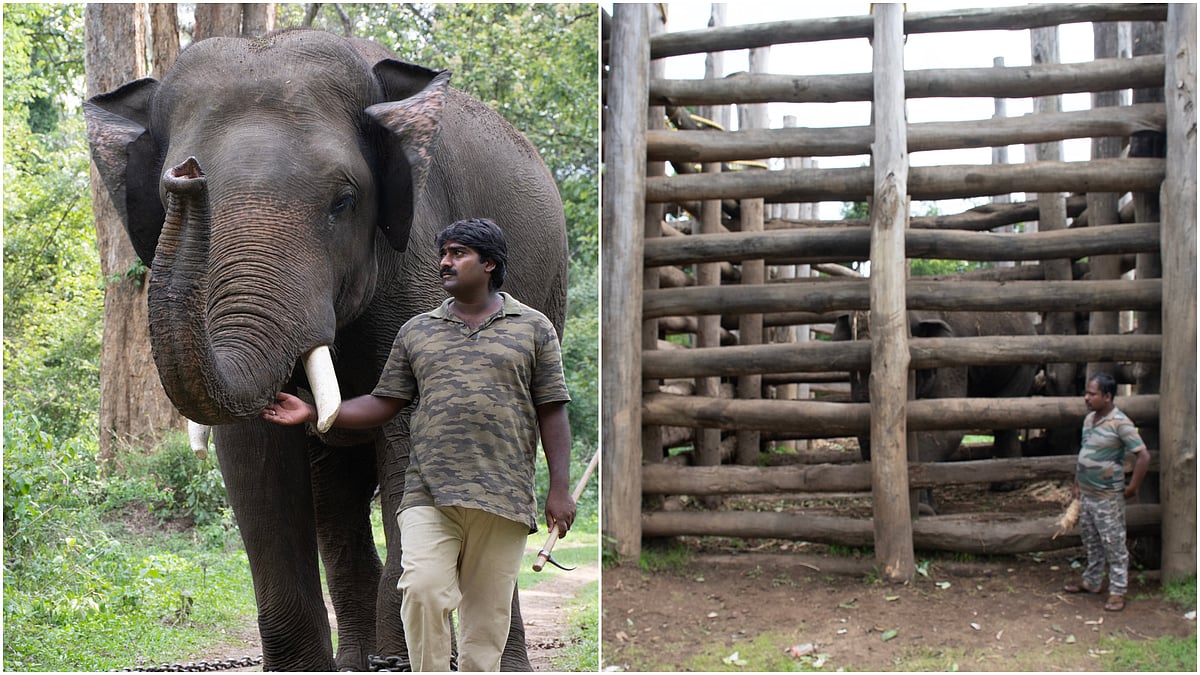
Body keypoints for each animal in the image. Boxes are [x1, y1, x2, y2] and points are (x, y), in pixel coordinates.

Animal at [84, 29, 567, 671]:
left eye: (343, 200)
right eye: (165, 196)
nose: (187, 177)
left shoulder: (415, 252)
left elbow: (407, 434)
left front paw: (399, 658)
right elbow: (254, 454)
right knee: (336, 497)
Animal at [833, 310, 1038, 508]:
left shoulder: (949, 355)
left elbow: (944, 429)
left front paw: (922, 506)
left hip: (1022, 365)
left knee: (1007, 416)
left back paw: (1006, 486)